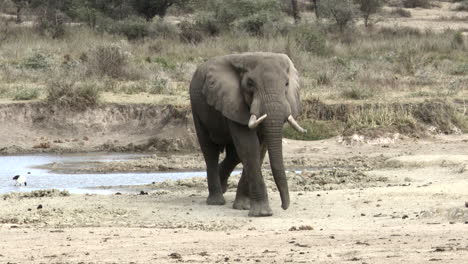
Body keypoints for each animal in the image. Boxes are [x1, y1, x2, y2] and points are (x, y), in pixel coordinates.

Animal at [188, 52, 306, 217]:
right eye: (250, 83)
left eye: (287, 84)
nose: (284, 206)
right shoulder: (233, 101)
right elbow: (249, 147)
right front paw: (262, 213)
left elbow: (259, 148)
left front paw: (243, 206)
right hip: (196, 107)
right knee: (210, 150)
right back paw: (216, 201)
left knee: (234, 155)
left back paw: (223, 185)